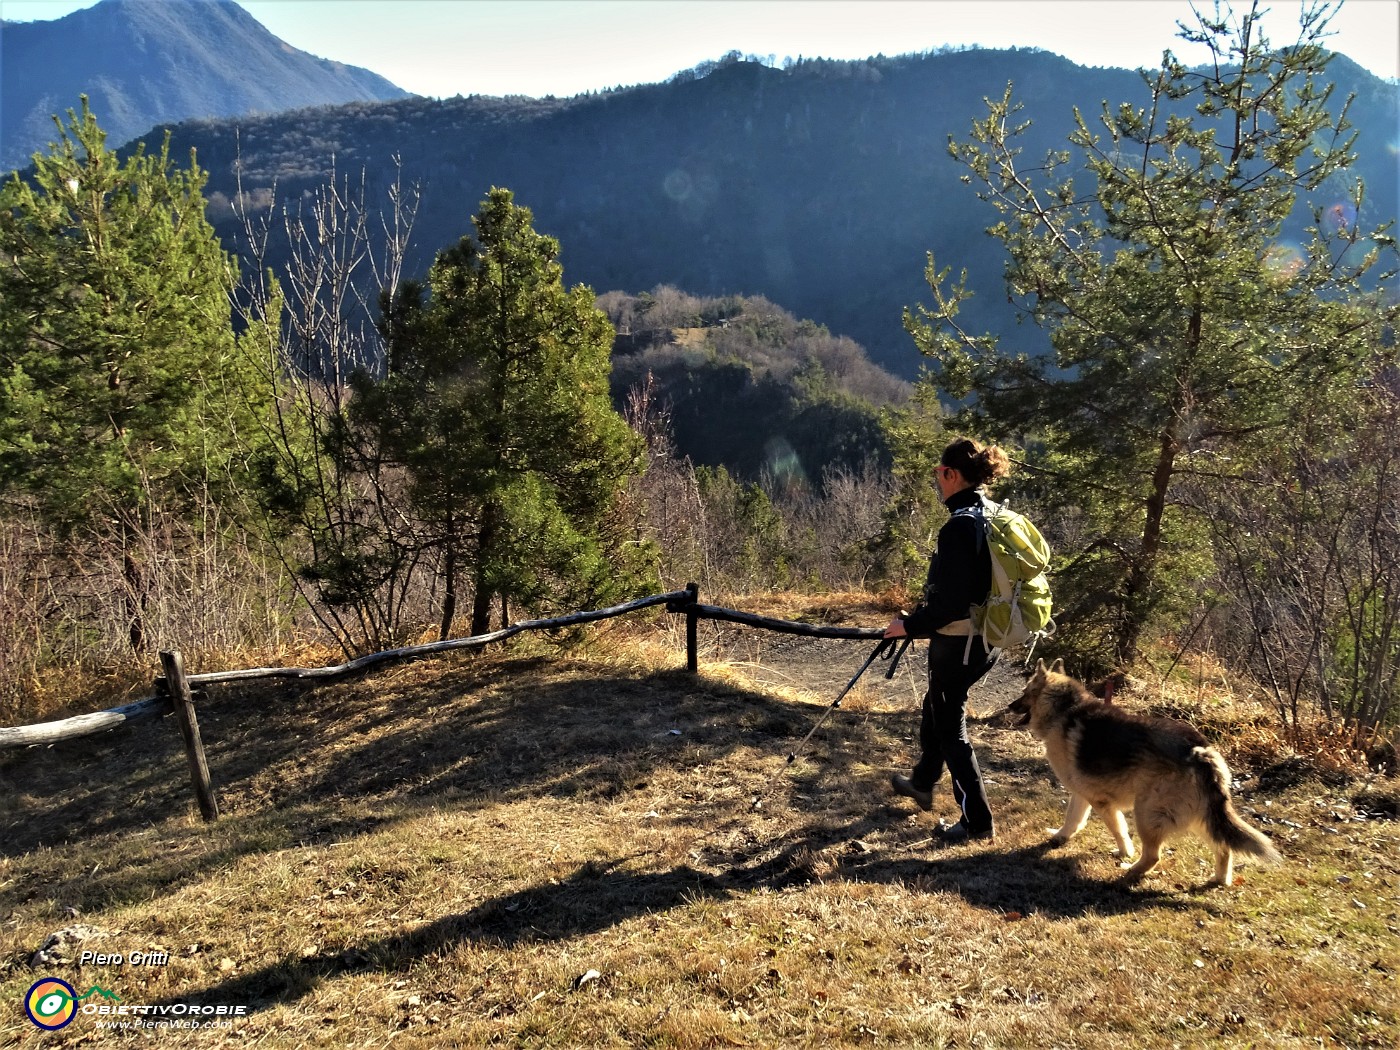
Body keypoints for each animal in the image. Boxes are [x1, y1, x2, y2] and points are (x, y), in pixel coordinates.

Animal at [1008, 658, 1282, 890]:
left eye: (1025, 692)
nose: (1010, 706)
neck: (1063, 708)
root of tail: (1199, 751)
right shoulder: (1082, 793)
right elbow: (1073, 819)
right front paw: (1060, 837)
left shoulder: (1100, 801)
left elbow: (1118, 830)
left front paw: (1124, 852)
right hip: (1199, 815)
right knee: (1224, 848)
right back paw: (1219, 879)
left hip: (1147, 813)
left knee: (1153, 855)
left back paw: (1130, 871)